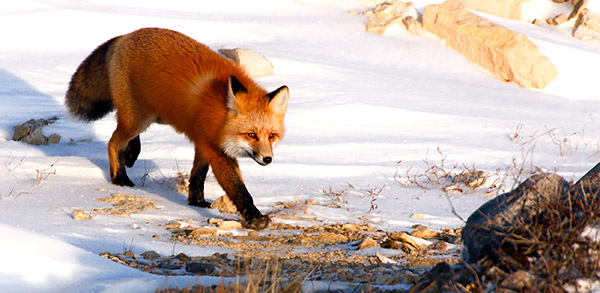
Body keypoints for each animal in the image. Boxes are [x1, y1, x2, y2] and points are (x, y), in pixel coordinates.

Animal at [64, 28, 290, 228]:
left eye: (272, 136)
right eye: (251, 134)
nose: (267, 159)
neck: (219, 112)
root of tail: (126, 35)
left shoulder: (203, 141)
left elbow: (198, 176)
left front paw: (197, 202)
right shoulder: (216, 150)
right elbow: (238, 189)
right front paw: (255, 218)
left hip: (153, 116)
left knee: (124, 132)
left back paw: (131, 154)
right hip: (139, 118)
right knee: (113, 141)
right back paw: (120, 176)